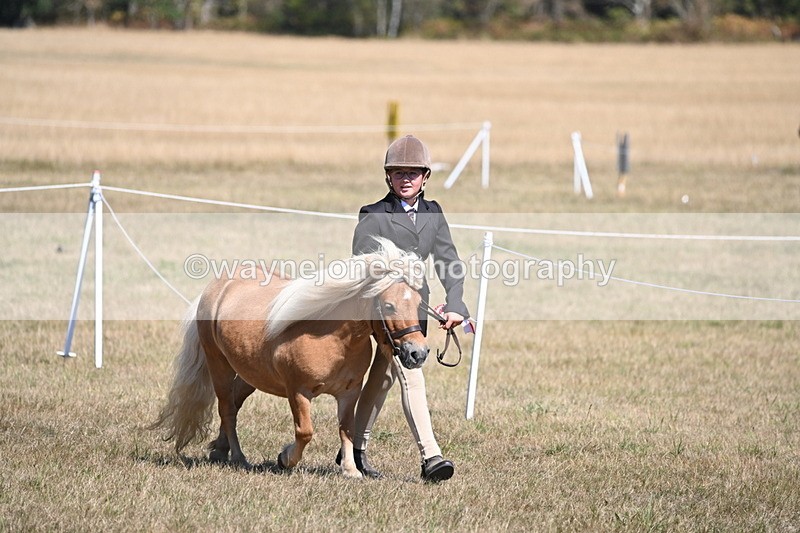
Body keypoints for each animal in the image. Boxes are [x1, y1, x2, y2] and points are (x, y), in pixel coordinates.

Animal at [149, 238, 429, 478]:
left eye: (418, 303)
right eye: (389, 306)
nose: (417, 353)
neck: (332, 339)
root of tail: (217, 288)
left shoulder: (349, 393)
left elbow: (346, 429)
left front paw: (351, 470)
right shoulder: (298, 391)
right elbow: (305, 432)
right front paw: (285, 459)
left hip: (251, 375)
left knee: (234, 404)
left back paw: (219, 450)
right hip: (219, 366)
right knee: (226, 409)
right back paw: (238, 458)